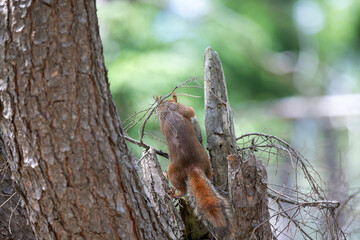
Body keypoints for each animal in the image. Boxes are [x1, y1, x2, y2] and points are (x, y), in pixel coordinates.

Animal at [158, 93, 233, 237]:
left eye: (159, 105)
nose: (156, 110)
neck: (169, 108)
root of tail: (193, 167)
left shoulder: (184, 110)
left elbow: (192, 115)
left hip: (172, 173)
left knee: (183, 190)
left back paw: (173, 193)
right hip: (204, 162)